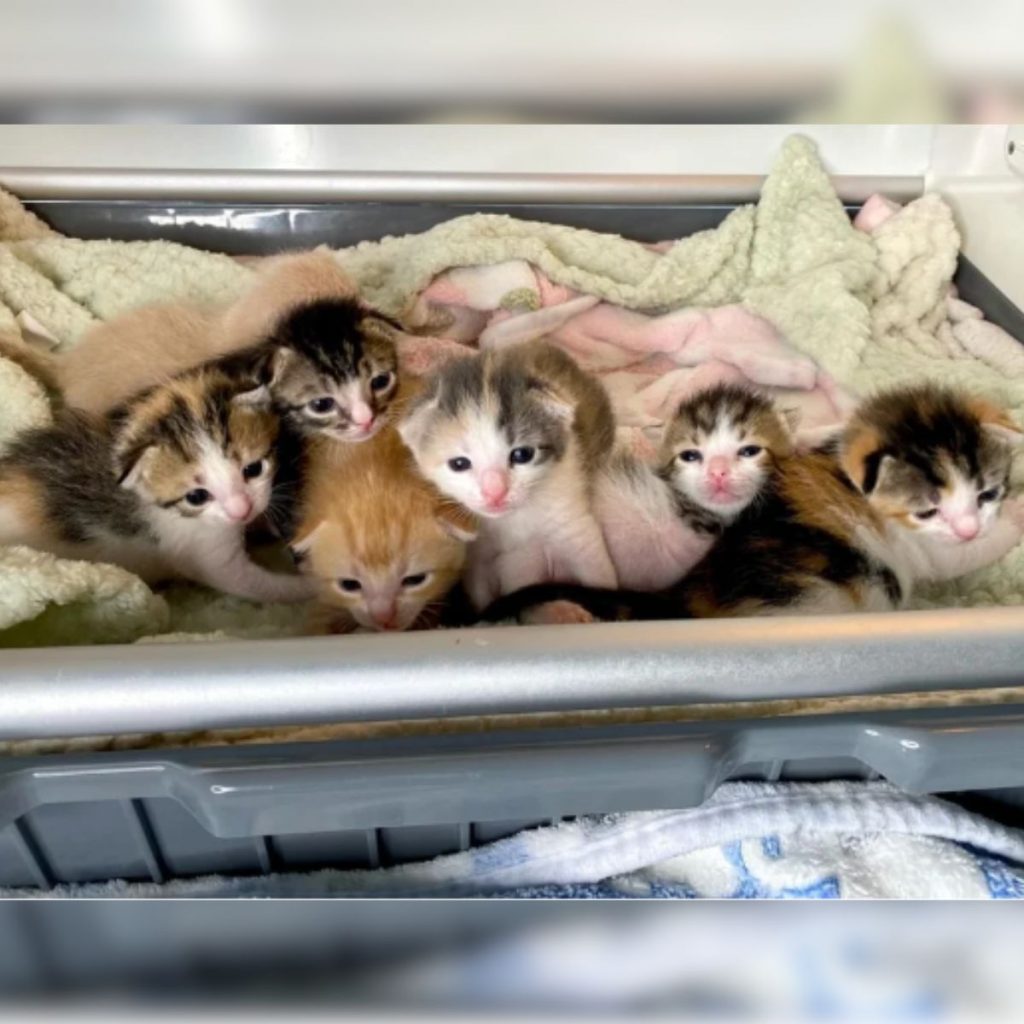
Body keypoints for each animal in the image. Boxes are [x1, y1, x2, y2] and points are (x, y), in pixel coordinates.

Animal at [0, 368, 315, 602]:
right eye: (196, 497)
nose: (242, 510)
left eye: (253, 469)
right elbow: (254, 584)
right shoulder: (200, 550)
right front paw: (311, 588)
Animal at [399, 339, 614, 606]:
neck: (511, 520)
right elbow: (480, 591)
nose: (495, 493)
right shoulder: (476, 554)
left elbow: (596, 569)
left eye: (522, 455)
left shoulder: (571, 516)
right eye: (459, 464)